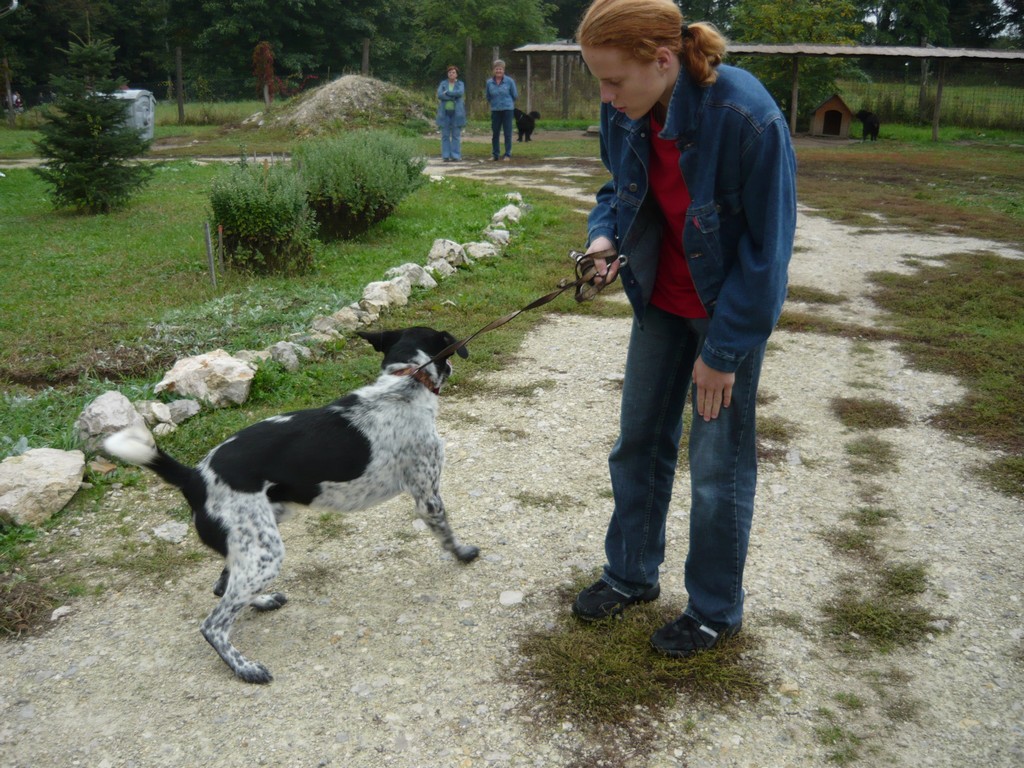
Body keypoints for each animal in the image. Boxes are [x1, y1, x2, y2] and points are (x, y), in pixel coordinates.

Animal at [104, 327, 477, 684]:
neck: (407, 380)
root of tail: (193, 476)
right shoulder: (427, 496)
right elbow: (448, 535)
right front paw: (463, 554)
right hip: (265, 550)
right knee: (213, 624)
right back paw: (246, 668)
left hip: (259, 537)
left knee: (224, 586)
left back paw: (262, 601)